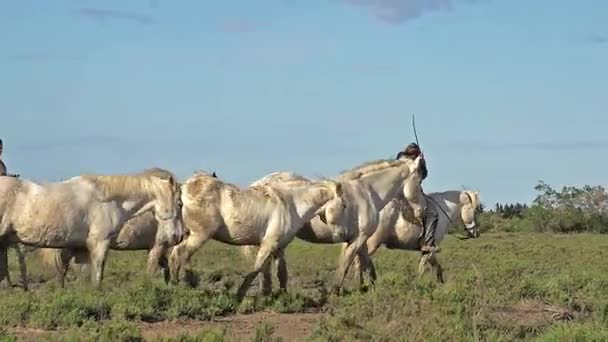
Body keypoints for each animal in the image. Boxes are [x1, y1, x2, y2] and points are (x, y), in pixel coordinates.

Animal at [0, 168, 183, 288]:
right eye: (180, 203)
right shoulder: (100, 244)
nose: (179, 236)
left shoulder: (82, 249)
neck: (107, 201)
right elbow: (97, 277)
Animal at [169, 170, 344, 300]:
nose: (341, 235)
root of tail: (183, 188)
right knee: (181, 253)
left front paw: (276, 295)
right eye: (344, 205)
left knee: (174, 255)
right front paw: (241, 295)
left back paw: (173, 283)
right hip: (200, 235)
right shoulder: (268, 244)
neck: (291, 203)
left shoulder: (278, 247)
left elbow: (278, 272)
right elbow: (257, 268)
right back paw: (183, 284)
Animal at [246, 155, 422, 294]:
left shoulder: (361, 239)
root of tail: (258, 184)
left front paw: (368, 288)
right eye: (419, 181)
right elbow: (346, 263)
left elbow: (365, 264)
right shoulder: (358, 239)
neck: (367, 193)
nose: (421, 211)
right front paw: (336, 290)